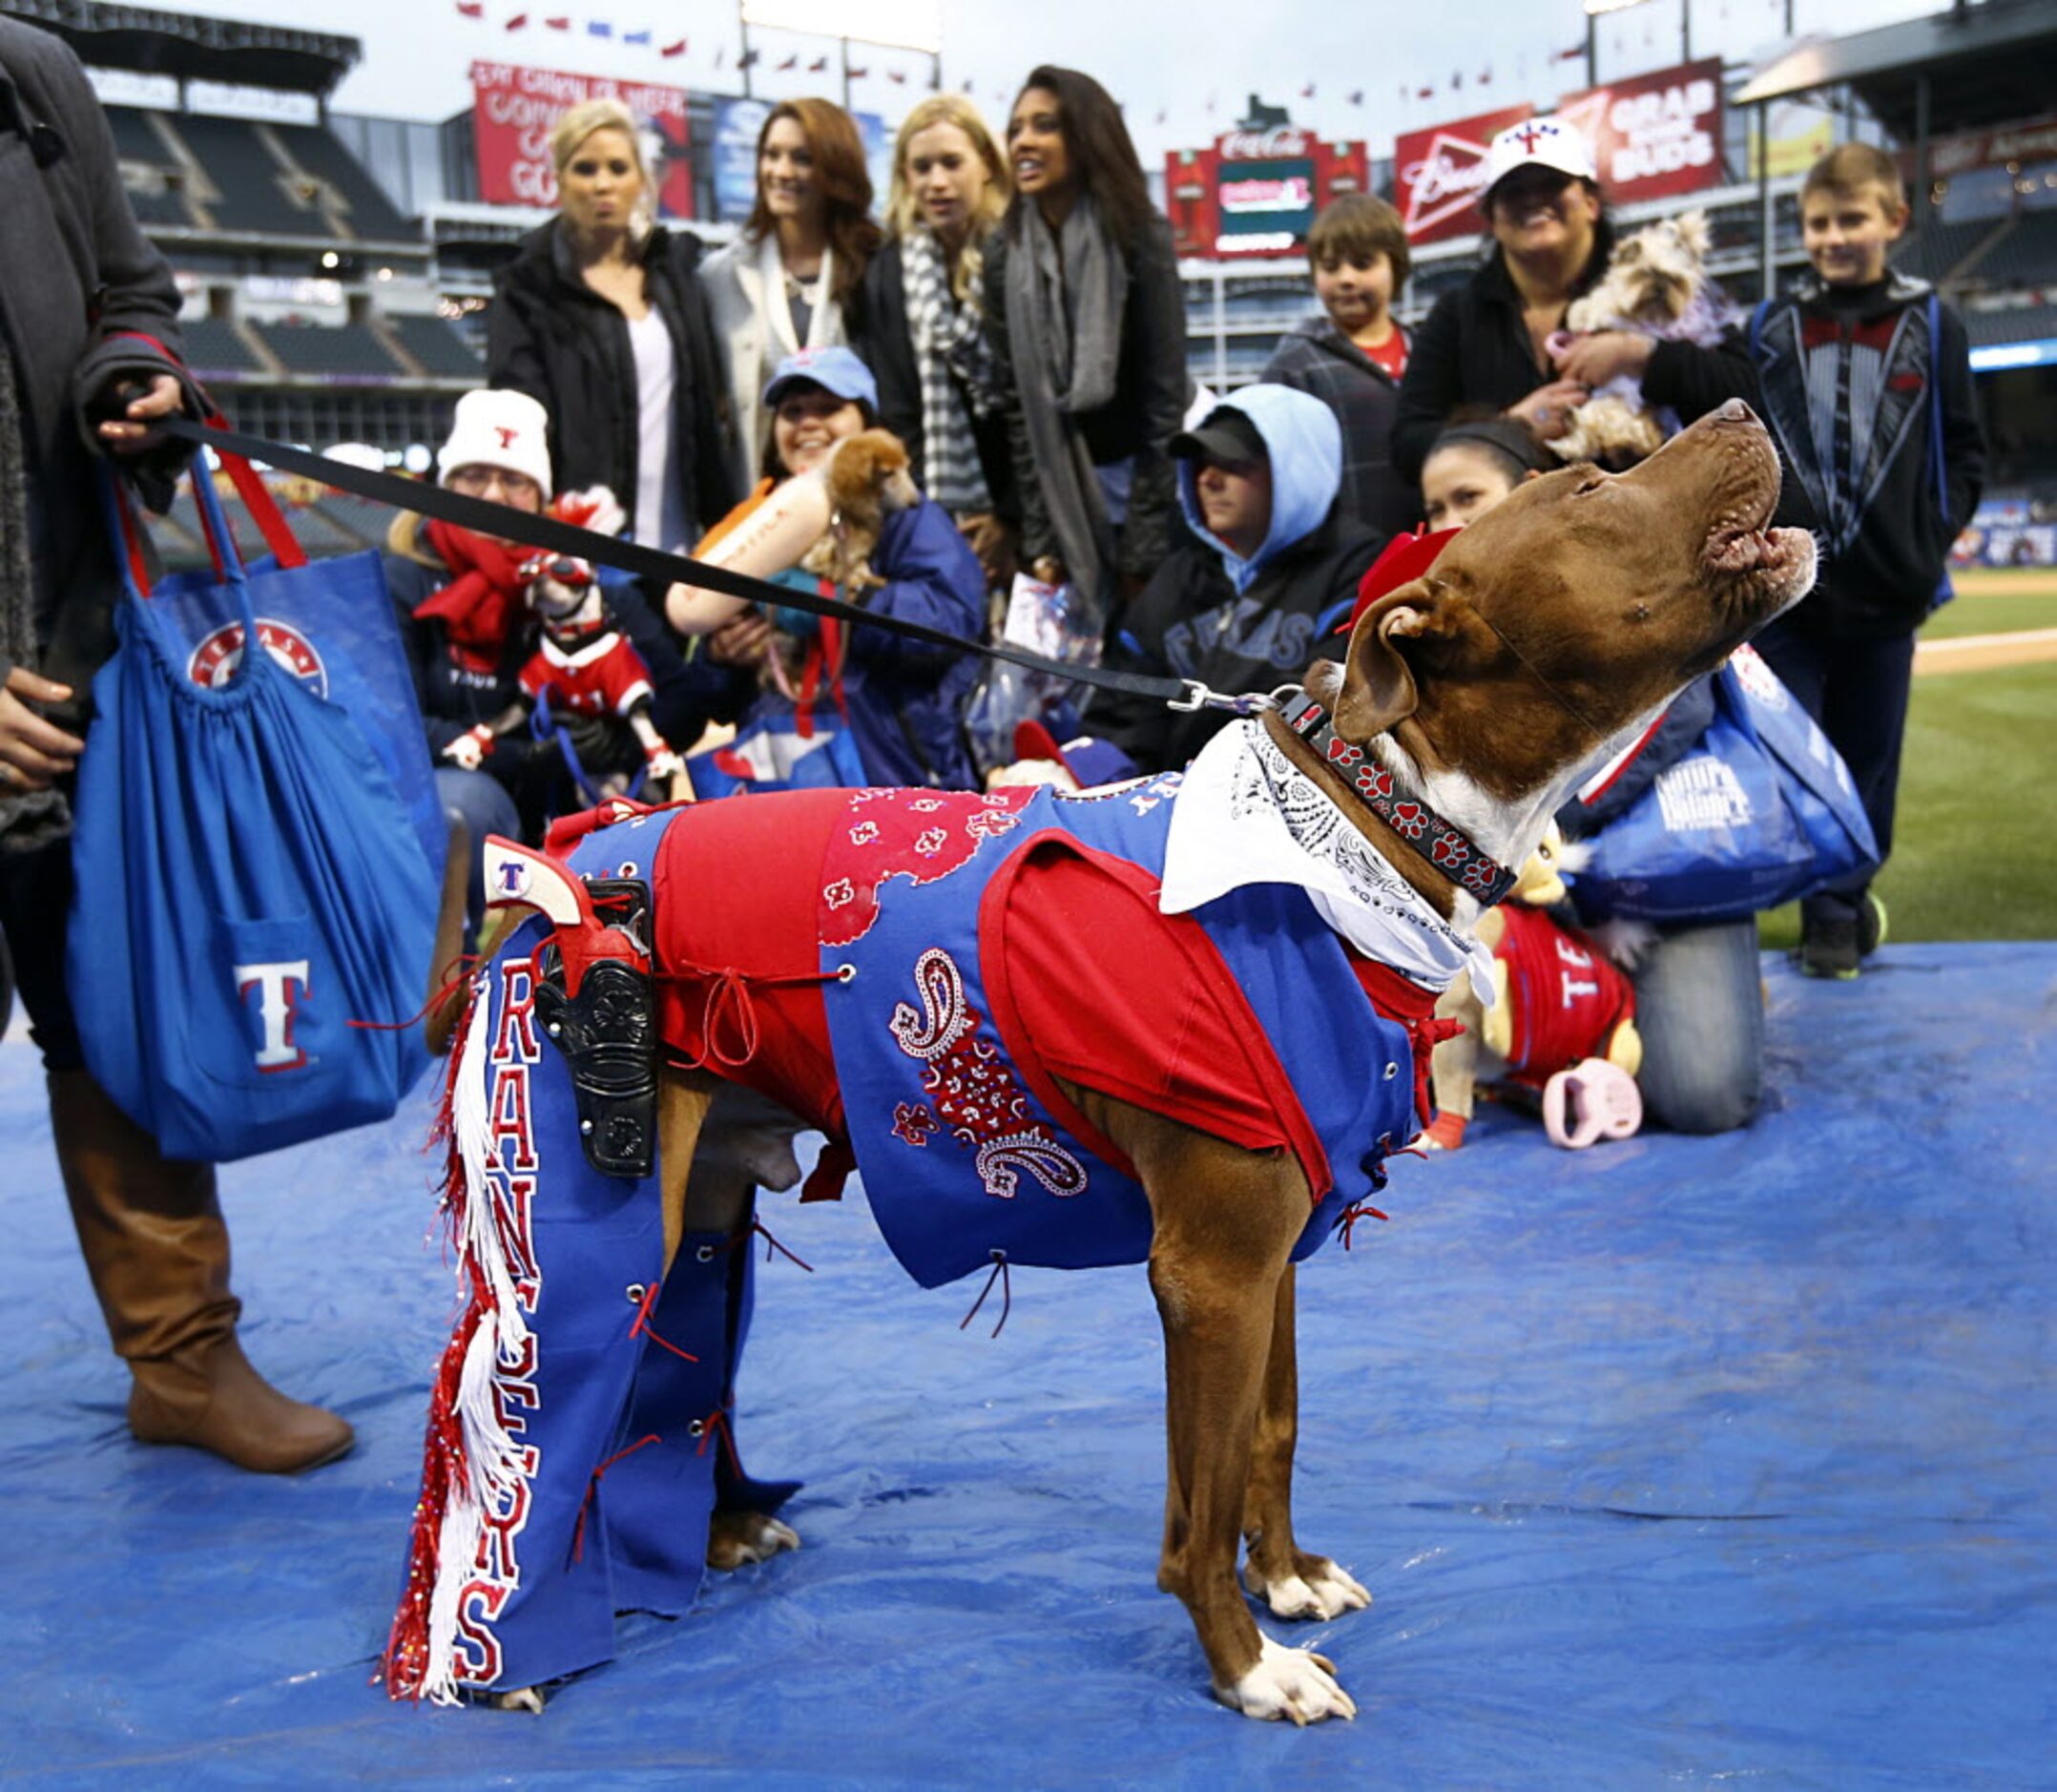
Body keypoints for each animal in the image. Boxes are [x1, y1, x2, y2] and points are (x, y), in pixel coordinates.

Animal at [388, 394, 1818, 1719]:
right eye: (1588, 487)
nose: (1743, 402)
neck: (1356, 824)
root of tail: (555, 876)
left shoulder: (1271, 1246)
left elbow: (1266, 1437)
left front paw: (1285, 1579)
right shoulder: (1209, 1271)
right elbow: (1196, 1507)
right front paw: (1250, 1670)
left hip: (703, 1218)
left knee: (675, 1378)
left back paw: (725, 1526)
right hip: (588, 1210)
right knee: (527, 1414)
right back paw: (500, 1657)